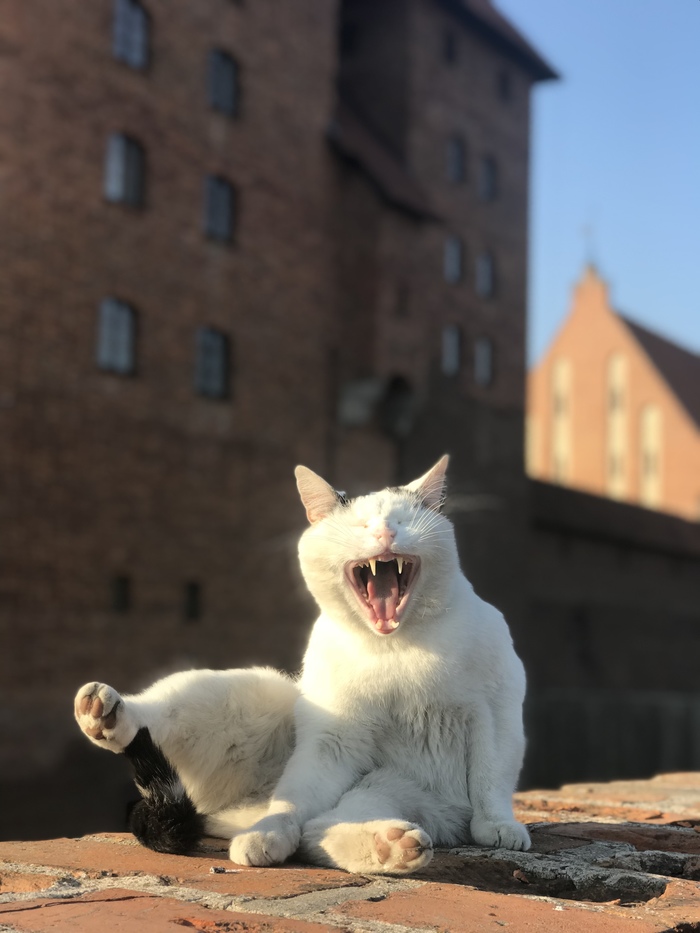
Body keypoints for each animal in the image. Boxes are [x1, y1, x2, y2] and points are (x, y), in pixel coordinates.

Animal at [74, 458, 528, 872]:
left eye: (402, 520)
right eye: (361, 525)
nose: (385, 533)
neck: (395, 648)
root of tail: (243, 809)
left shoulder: (496, 715)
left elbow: (491, 778)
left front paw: (499, 827)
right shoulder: (332, 740)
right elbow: (295, 803)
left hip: (391, 790)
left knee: (319, 830)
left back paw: (392, 845)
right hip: (250, 692)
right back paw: (104, 714)